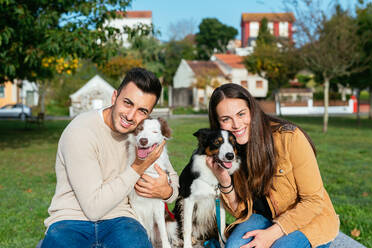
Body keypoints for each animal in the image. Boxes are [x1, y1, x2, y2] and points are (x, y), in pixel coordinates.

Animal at [127, 117, 174, 248]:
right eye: (140, 129)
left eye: (155, 131)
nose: (143, 140)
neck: (147, 167)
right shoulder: (135, 205)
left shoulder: (158, 204)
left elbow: (163, 231)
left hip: (171, 222)